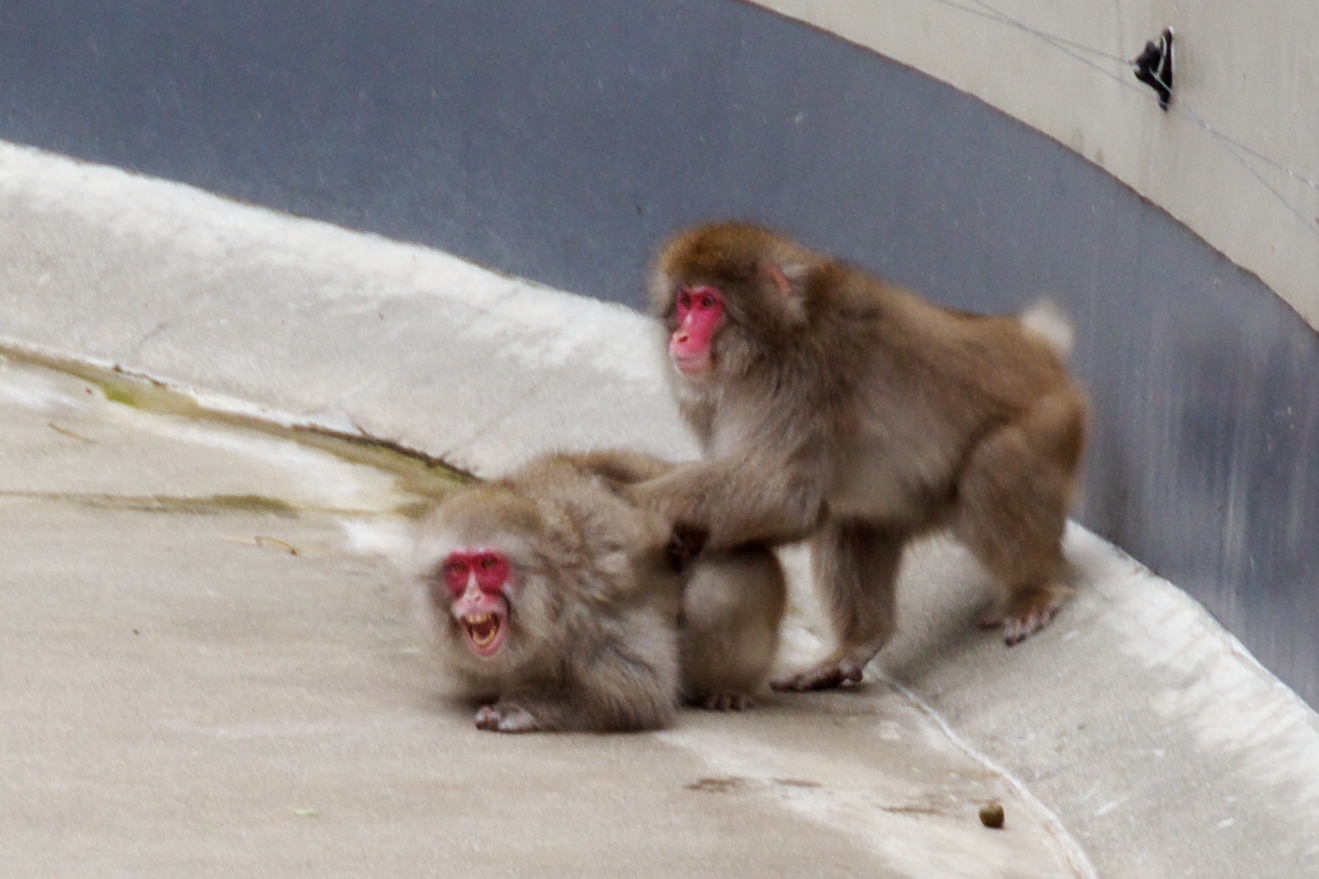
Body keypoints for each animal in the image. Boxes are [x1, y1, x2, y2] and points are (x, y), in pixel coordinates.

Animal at [633, 223, 1086, 686]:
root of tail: (1040, 350)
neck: (769, 343)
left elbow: (782, 494)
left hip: (1052, 423)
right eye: (685, 301)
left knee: (994, 467)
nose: (681, 336)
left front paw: (633, 503)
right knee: (849, 516)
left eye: (709, 303)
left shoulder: (801, 377)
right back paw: (859, 642)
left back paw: (1038, 588)